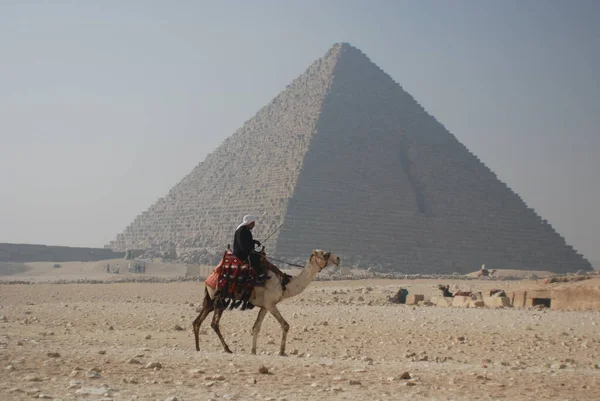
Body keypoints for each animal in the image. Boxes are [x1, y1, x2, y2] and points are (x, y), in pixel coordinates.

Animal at [193, 248, 340, 354]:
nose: (338, 259)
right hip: (220, 299)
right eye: (324, 254)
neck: (285, 284)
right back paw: (227, 349)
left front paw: (253, 351)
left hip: (210, 300)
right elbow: (285, 325)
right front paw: (281, 351)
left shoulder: (264, 306)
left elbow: (256, 327)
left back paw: (198, 348)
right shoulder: (270, 304)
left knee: (197, 321)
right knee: (214, 324)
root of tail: (209, 278)